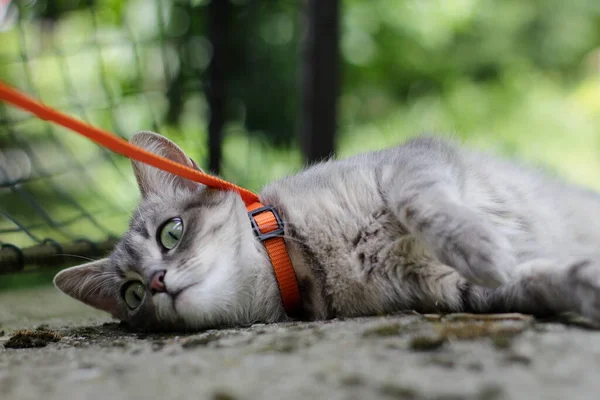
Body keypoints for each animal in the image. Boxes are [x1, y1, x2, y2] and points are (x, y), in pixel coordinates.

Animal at [52, 131, 600, 332]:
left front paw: (480, 245)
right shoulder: (449, 291)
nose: (157, 282)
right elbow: (542, 279)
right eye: (132, 294)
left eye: (171, 232)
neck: (306, 258)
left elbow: (422, 202)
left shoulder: (411, 159)